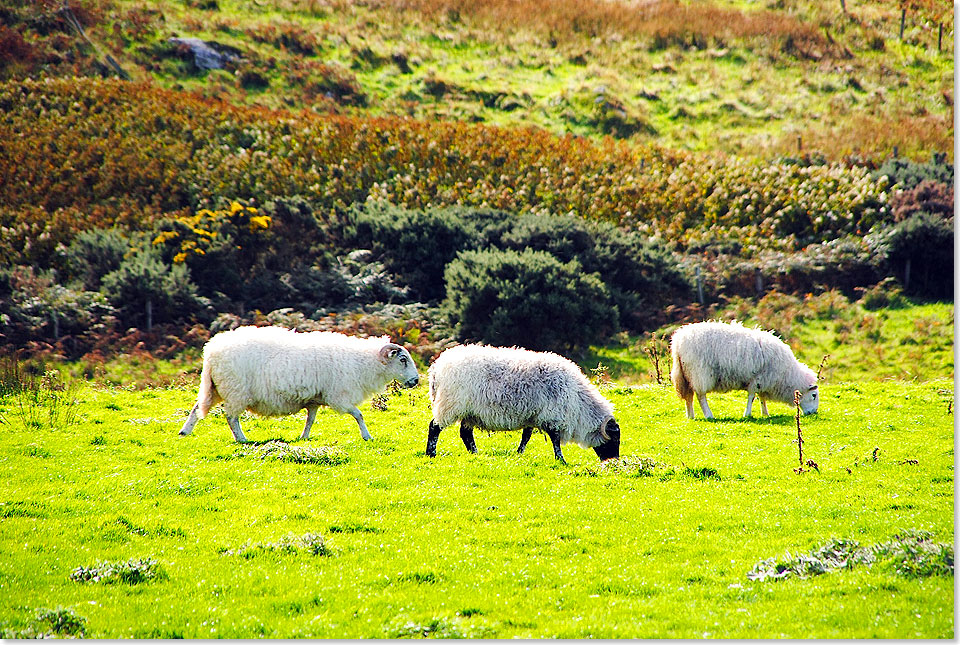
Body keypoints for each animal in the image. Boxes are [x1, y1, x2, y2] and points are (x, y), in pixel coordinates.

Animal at [180, 324, 420, 440]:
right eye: (403, 359)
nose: (416, 380)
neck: (364, 362)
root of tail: (211, 350)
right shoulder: (339, 397)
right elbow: (359, 415)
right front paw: (367, 436)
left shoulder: (315, 399)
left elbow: (310, 420)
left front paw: (304, 437)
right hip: (236, 390)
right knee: (231, 418)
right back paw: (242, 439)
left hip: (216, 388)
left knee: (196, 407)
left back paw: (185, 431)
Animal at [668, 320, 816, 420]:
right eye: (814, 395)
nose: (814, 413)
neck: (787, 375)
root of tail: (678, 341)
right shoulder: (758, 379)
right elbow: (752, 397)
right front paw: (748, 414)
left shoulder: (764, 380)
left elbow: (761, 398)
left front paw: (765, 413)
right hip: (699, 371)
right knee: (700, 395)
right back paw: (709, 415)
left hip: (685, 374)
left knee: (689, 396)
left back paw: (690, 416)